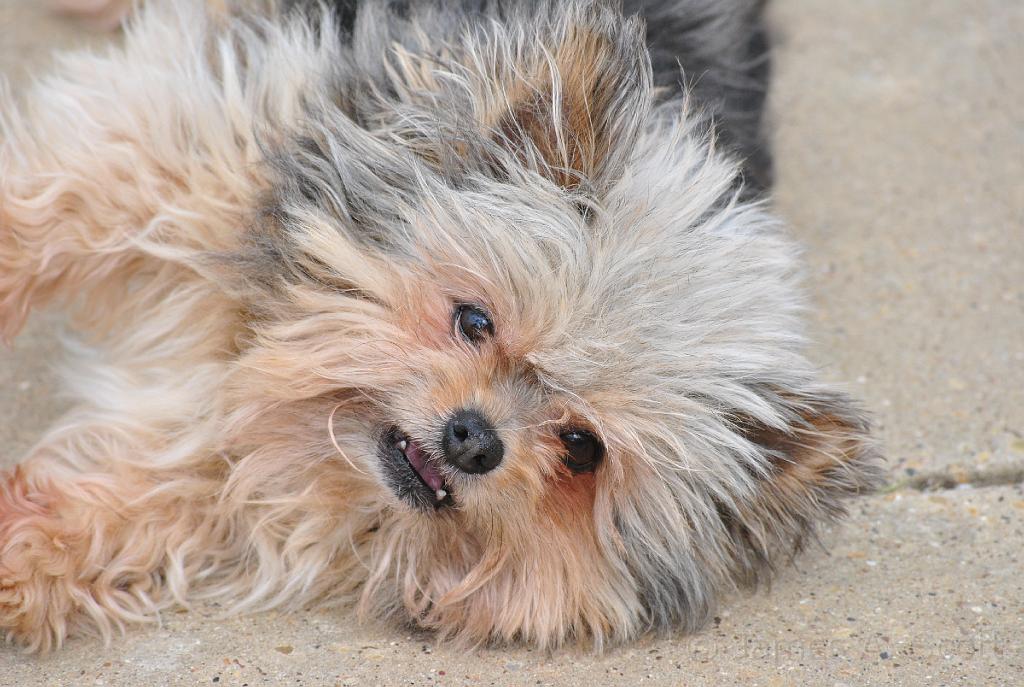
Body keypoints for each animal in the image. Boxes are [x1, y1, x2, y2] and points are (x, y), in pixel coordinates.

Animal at [0, 0, 880, 651]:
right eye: (475, 318)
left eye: (582, 447)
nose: (474, 439)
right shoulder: (180, 146)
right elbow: (41, 214)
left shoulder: (229, 473)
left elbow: (148, 503)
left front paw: (27, 548)